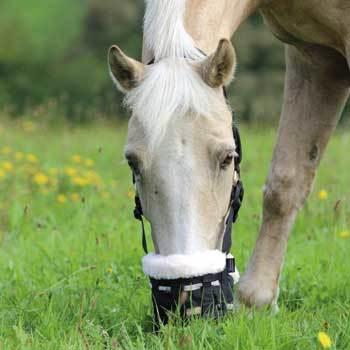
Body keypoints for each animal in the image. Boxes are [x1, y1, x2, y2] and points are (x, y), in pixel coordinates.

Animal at [108, 0, 350, 312]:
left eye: (227, 158)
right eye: (132, 163)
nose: (188, 298)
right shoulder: (314, 58)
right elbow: (285, 185)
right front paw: (257, 300)